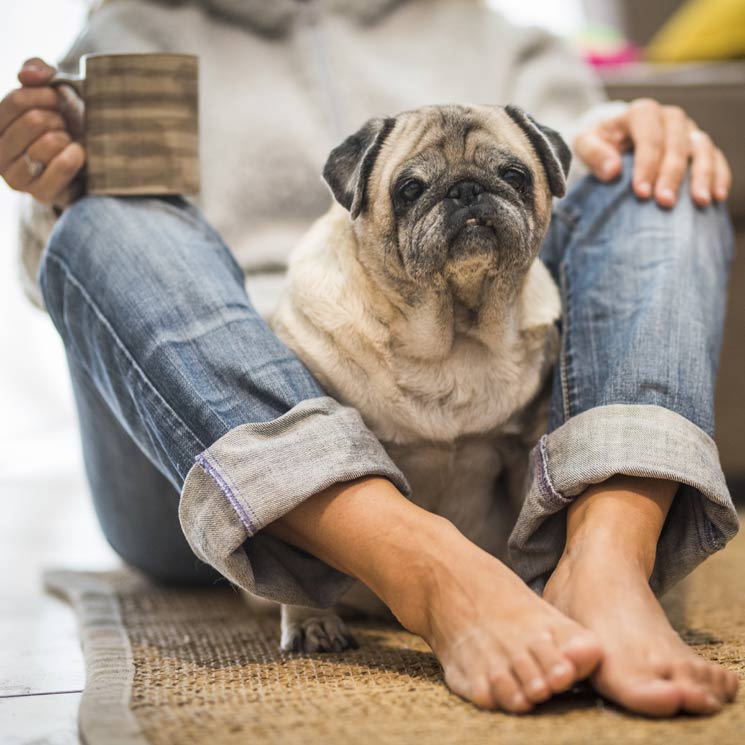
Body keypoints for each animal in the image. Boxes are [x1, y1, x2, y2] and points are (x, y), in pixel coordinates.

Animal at [270, 104, 568, 652]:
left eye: (514, 175)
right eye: (410, 189)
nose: (467, 189)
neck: (453, 337)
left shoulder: (522, 452)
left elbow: (528, 539)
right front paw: (310, 622)